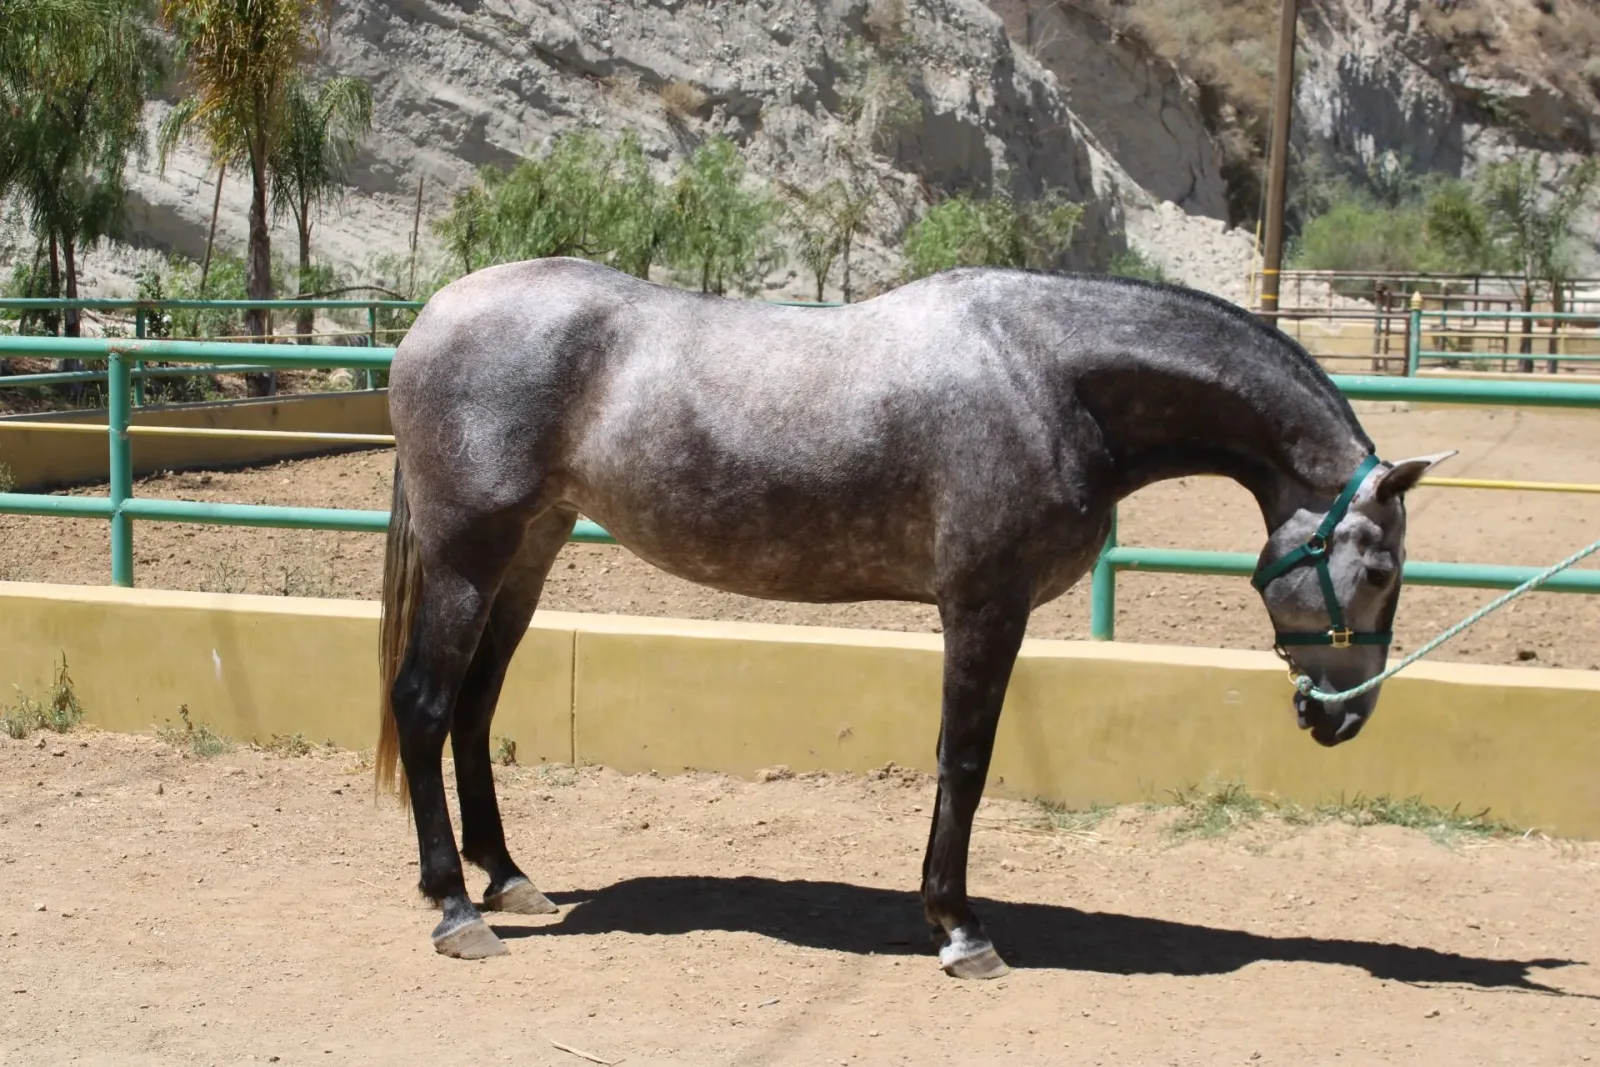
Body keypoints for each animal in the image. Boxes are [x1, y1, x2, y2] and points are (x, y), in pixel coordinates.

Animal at [373, 256, 1453, 978]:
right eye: (1381, 568)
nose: (1342, 713)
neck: (1048, 376)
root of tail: (434, 315)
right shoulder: (983, 604)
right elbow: (964, 759)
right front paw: (960, 926)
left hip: (528, 551)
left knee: (474, 707)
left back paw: (509, 875)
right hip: (469, 556)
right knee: (423, 704)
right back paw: (456, 907)